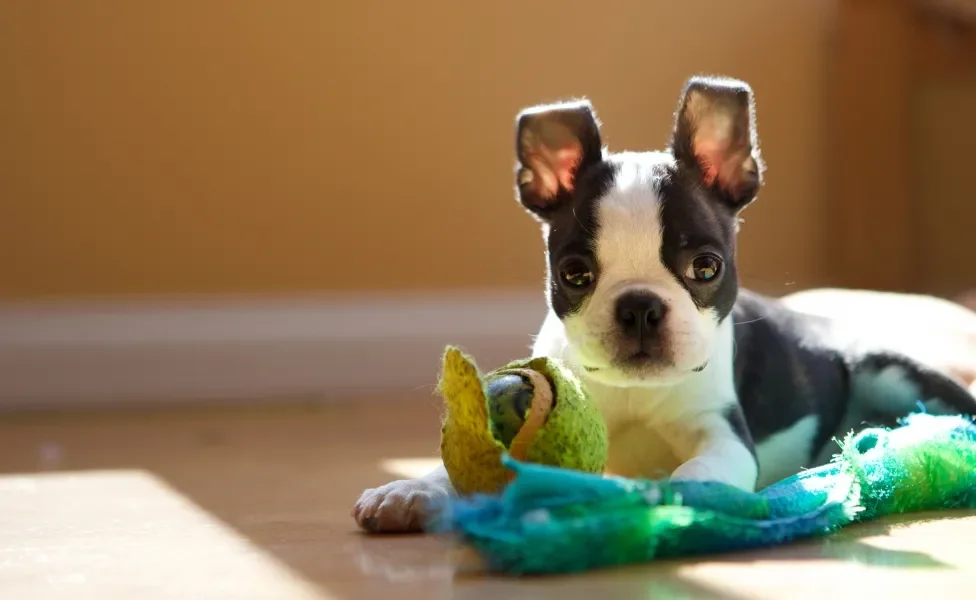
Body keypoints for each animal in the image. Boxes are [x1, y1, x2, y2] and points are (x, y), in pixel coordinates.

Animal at [354, 76, 976, 536]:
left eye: (706, 267)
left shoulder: (722, 435)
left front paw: (672, 496)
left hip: (889, 371)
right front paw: (408, 487)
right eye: (574, 275)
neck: (636, 393)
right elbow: (457, 462)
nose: (639, 307)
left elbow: (700, 468)